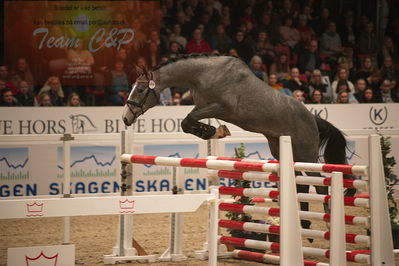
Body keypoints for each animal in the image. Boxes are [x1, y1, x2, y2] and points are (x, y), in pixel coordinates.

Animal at [122, 54, 354, 229]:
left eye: (141, 90)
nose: (125, 118)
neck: (204, 74)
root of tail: (313, 118)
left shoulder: (221, 108)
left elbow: (188, 121)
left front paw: (214, 131)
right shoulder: (203, 106)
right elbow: (188, 123)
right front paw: (214, 131)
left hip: (305, 154)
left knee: (320, 185)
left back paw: (327, 224)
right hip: (282, 149)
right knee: (302, 183)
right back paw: (304, 224)